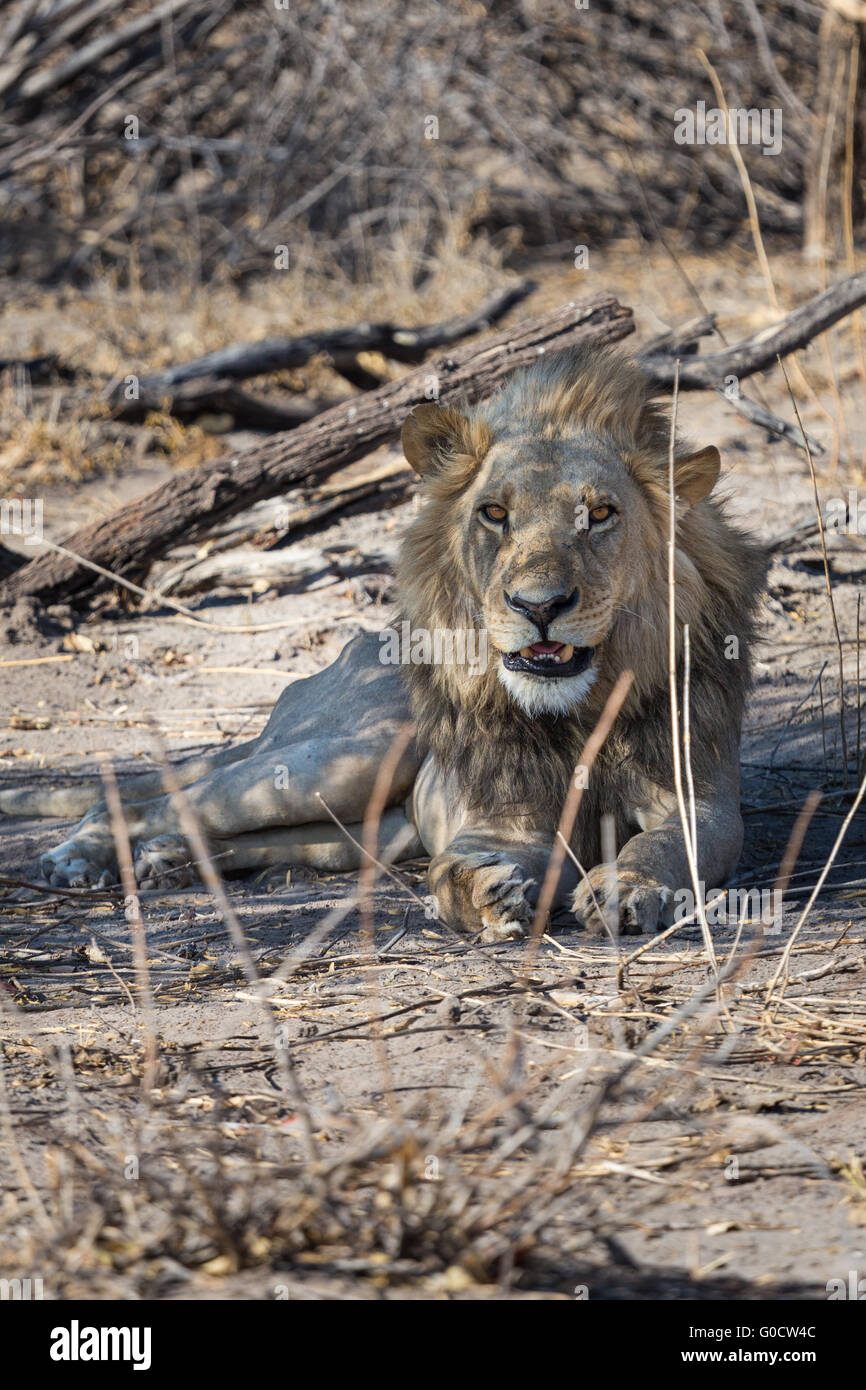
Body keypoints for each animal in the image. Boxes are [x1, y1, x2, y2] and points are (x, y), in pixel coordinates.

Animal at [5, 344, 767, 945]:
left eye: (601, 515)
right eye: (494, 514)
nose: (538, 607)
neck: (578, 709)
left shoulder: (700, 798)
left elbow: (668, 842)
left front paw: (628, 886)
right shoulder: (501, 822)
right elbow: (453, 867)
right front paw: (484, 896)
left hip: (371, 821)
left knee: (262, 838)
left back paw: (172, 860)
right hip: (342, 759)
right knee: (146, 802)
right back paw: (81, 857)